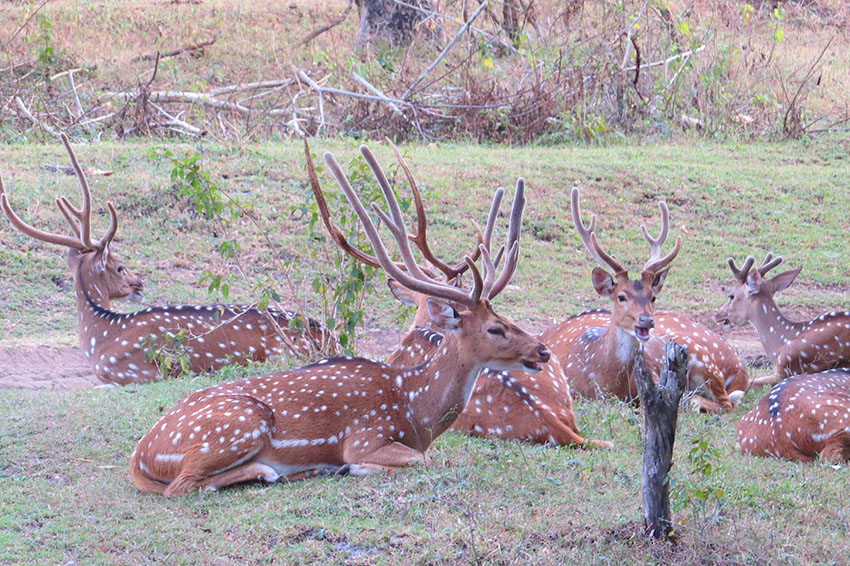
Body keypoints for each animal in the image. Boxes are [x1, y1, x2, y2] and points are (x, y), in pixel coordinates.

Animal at [0, 135, 324, 388]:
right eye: (120, 267)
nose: (139, 282)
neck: (102, 338)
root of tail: (324, 333)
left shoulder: (140, 373)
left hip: (281, 353)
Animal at [128, 145, 548, 496]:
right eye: (495, 328)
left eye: (507, 316)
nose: (542, 351)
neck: (415, 411)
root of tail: (140, 456)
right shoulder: (365, 435)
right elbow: (422, 460)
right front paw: (354, 468)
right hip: (239, 424)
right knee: (182, 485)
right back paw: (272, 471)